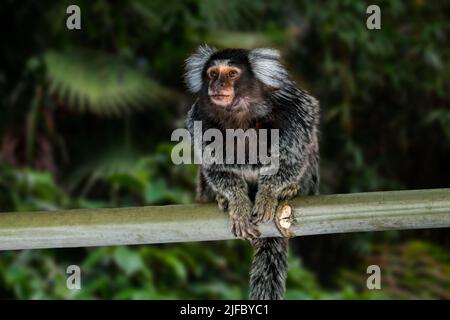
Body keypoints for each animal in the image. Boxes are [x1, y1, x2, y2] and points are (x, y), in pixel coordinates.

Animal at [184, 47, 320, 300]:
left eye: (232, 73)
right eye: (212, 73)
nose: (217, 84)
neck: (240, 115)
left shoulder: (292, 110)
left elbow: (293, 156)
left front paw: (268, 195)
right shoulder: (199, 119)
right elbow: (215, 167)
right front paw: (237, 204)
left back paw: (291, 189)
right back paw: (220, 198)